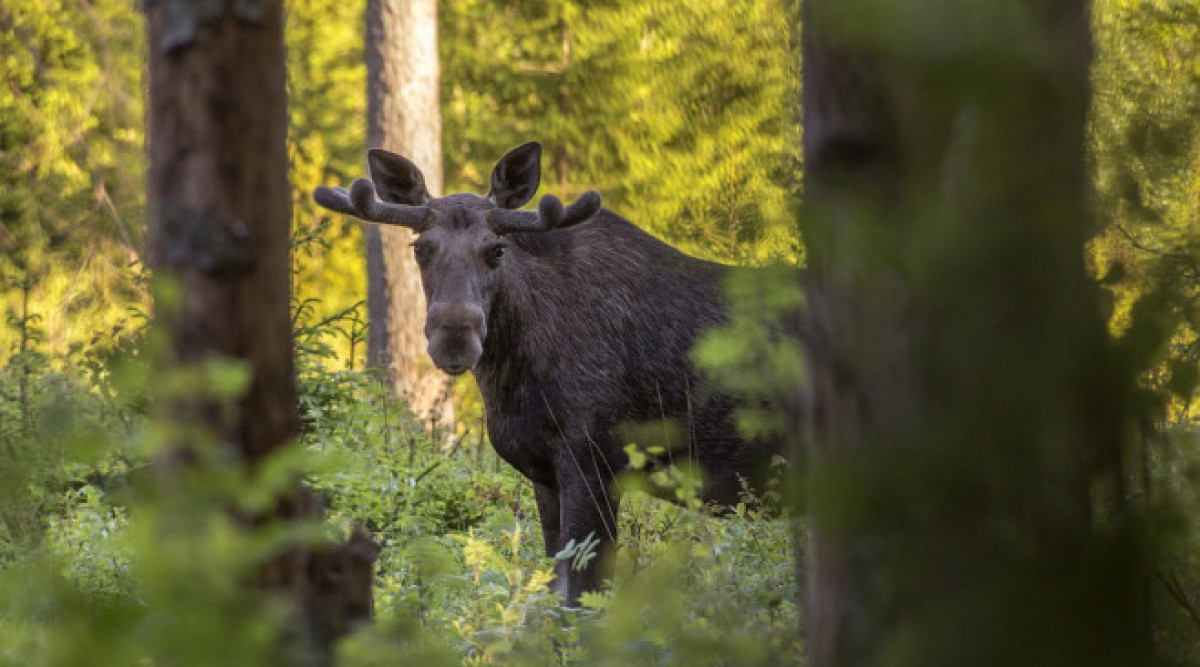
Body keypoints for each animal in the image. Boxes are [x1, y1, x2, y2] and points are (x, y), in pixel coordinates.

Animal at [314, 142, 792, 604]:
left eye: (497, 249)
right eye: (420, 248)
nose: (454, 338)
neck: (513, 381)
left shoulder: (596, 461)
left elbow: (580, 597)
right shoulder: (544, 473)